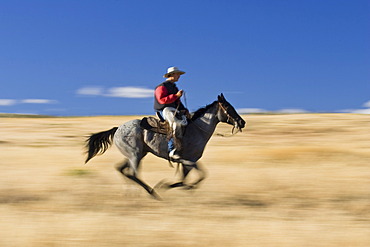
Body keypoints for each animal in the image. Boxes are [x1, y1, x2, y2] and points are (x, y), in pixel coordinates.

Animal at [84, 93, 246, 200]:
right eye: (228, 107)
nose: (242, 122)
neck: (198, 129)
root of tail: (117, 128)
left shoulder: (191, 160)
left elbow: (192, 178)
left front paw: (180, 186)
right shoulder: (188, 161)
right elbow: (195, 177)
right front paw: (167, 186)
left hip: (137, 154)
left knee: (122, 169)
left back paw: (132, 193)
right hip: (135, 155)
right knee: (133, 174)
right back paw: (152, 192)